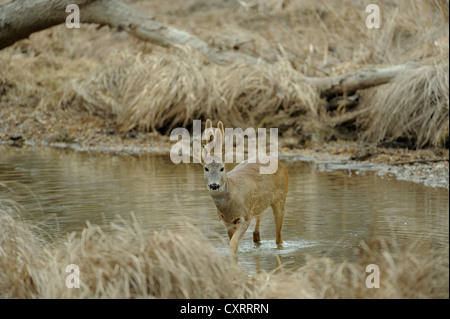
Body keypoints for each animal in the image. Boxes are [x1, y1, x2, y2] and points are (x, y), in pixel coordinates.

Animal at [196, 120, 288, 255]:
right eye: (206, 168)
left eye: (222, 168)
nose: (214, 185)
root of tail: (280, 163)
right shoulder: (227, 222)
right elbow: (233, 243)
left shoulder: (245, 216)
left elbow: (233, 244)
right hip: (259, 205)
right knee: (256, 232)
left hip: (281, 197)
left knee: (279, 236)